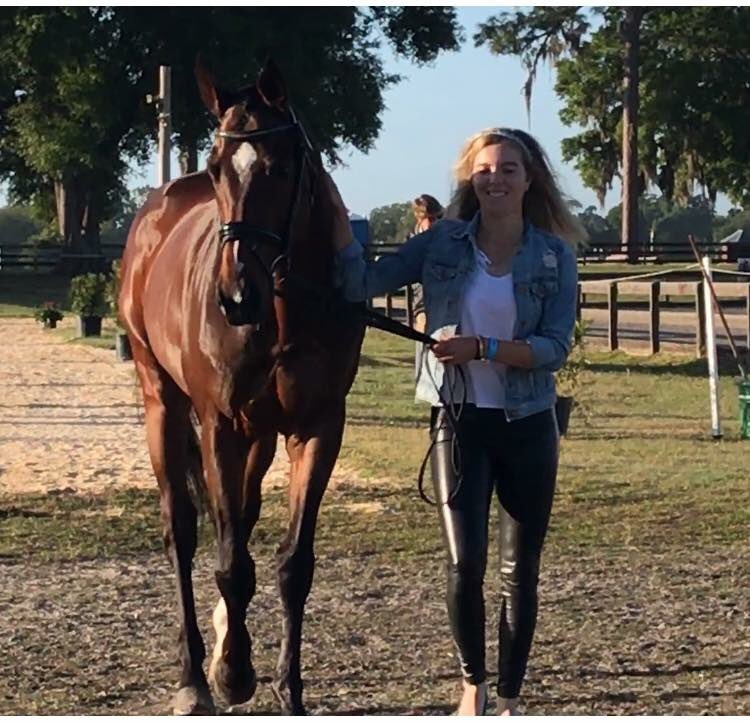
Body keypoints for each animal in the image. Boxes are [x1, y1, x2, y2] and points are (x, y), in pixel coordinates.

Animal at [118, 58, 365, 715]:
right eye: (215, 169)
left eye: (279, 169)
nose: (234, 297)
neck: (282, 311)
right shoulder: (221, 427)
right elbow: (230, 562)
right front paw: (229, 675)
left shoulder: (317, 430)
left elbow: (290, 566)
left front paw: (287, 686)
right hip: (163, 402)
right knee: (182, 530)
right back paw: (194, 675)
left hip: (260, 437)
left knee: (243, 522)